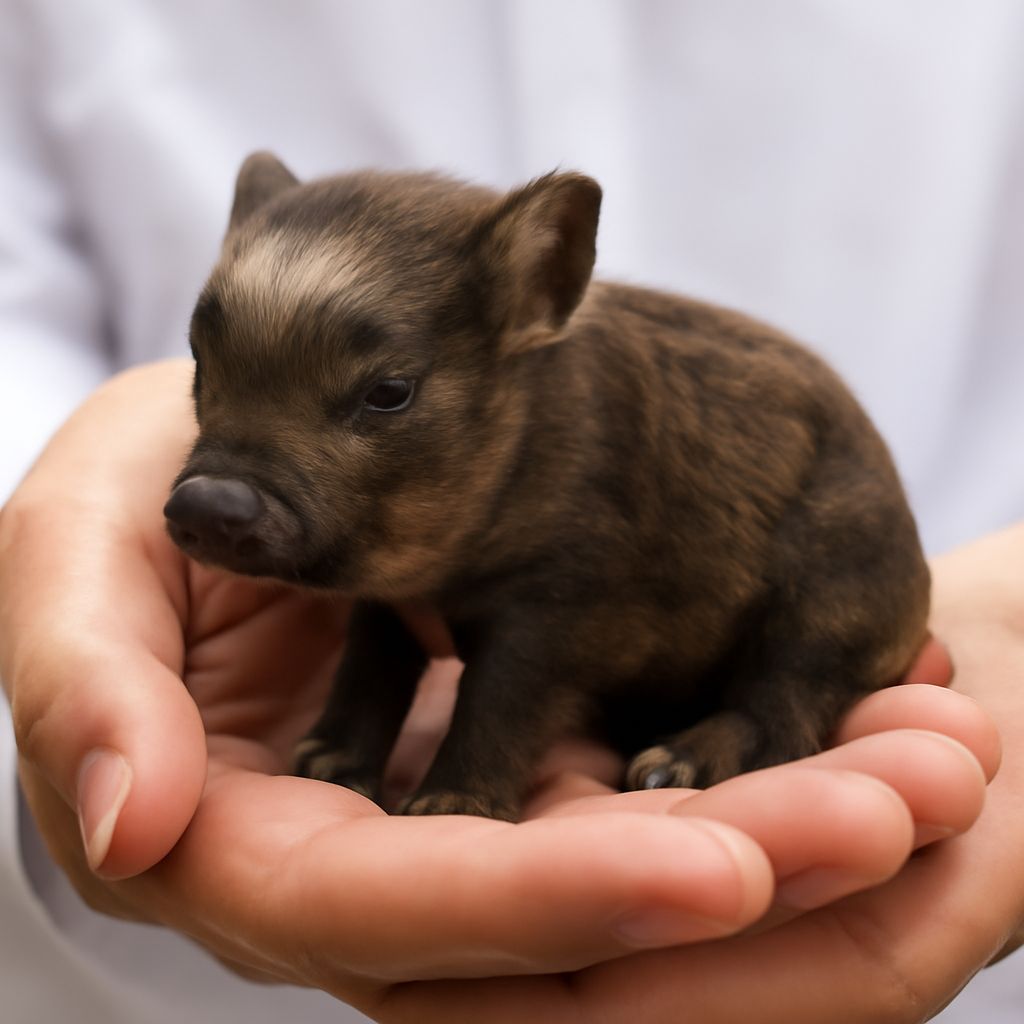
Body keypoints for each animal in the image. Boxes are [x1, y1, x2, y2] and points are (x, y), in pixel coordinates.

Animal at [164, 152, 930, 820]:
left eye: (388, 391)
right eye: (201, 360)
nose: (206, 501)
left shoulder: (562, 601)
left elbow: (498, 700)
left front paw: (449, 809)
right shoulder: (386, 609)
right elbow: (369, 672)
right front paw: (320, 769)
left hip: (835, 593)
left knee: (788, 706)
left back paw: (666, 766)